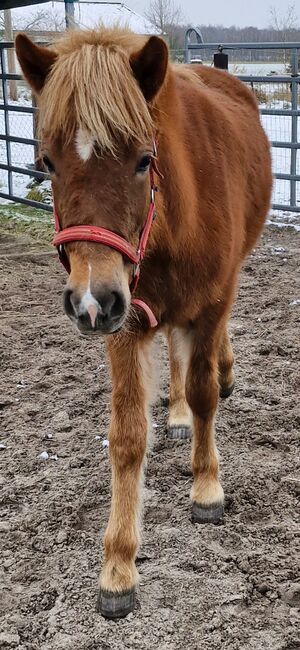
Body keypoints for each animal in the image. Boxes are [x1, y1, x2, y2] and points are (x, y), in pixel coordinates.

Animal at [15, 26, 272, 616]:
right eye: (47, 161)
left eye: (141, 160)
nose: (91, 300)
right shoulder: (126, 324)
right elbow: (129, 435)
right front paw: (118, 567)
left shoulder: (209, 302)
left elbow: (204, 393)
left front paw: (206, 490)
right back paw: (175, 414)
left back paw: (220, 377)